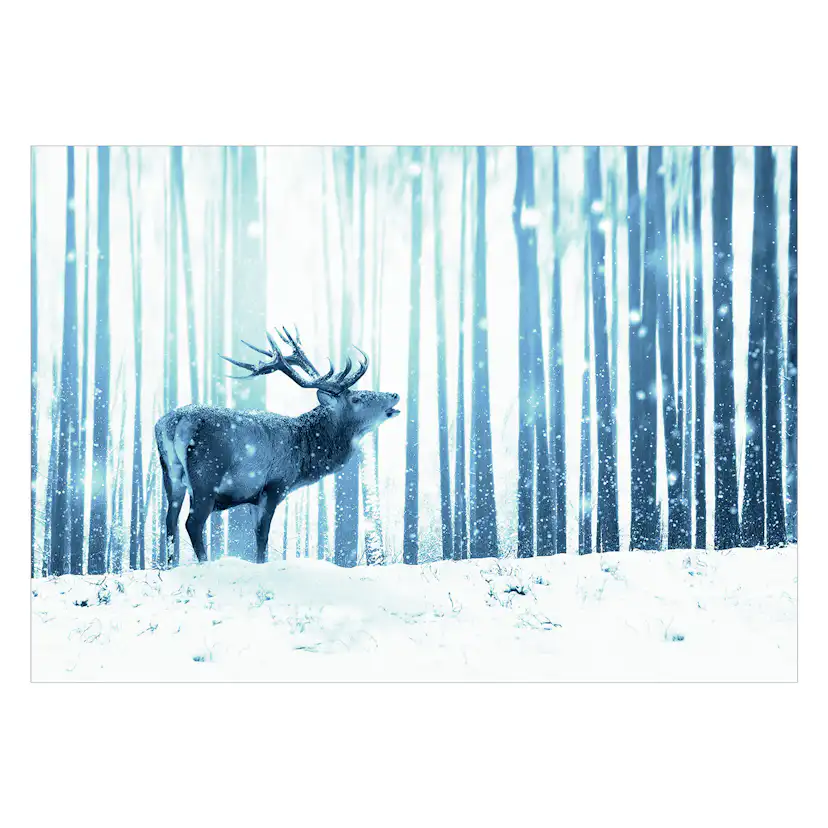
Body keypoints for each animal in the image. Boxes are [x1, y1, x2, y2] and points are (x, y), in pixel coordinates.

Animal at [154, 327, 400, 566]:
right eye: (356, 399)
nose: (395, 394)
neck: (303, 456)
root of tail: (174, 422)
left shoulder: (252, 496)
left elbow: (256, 535)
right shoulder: (274, 485)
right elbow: (263, 536)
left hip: (171, 474)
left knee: (170, 521)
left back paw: (170, 565)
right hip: (207, 474)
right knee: (193, 523)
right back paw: (204, 563)